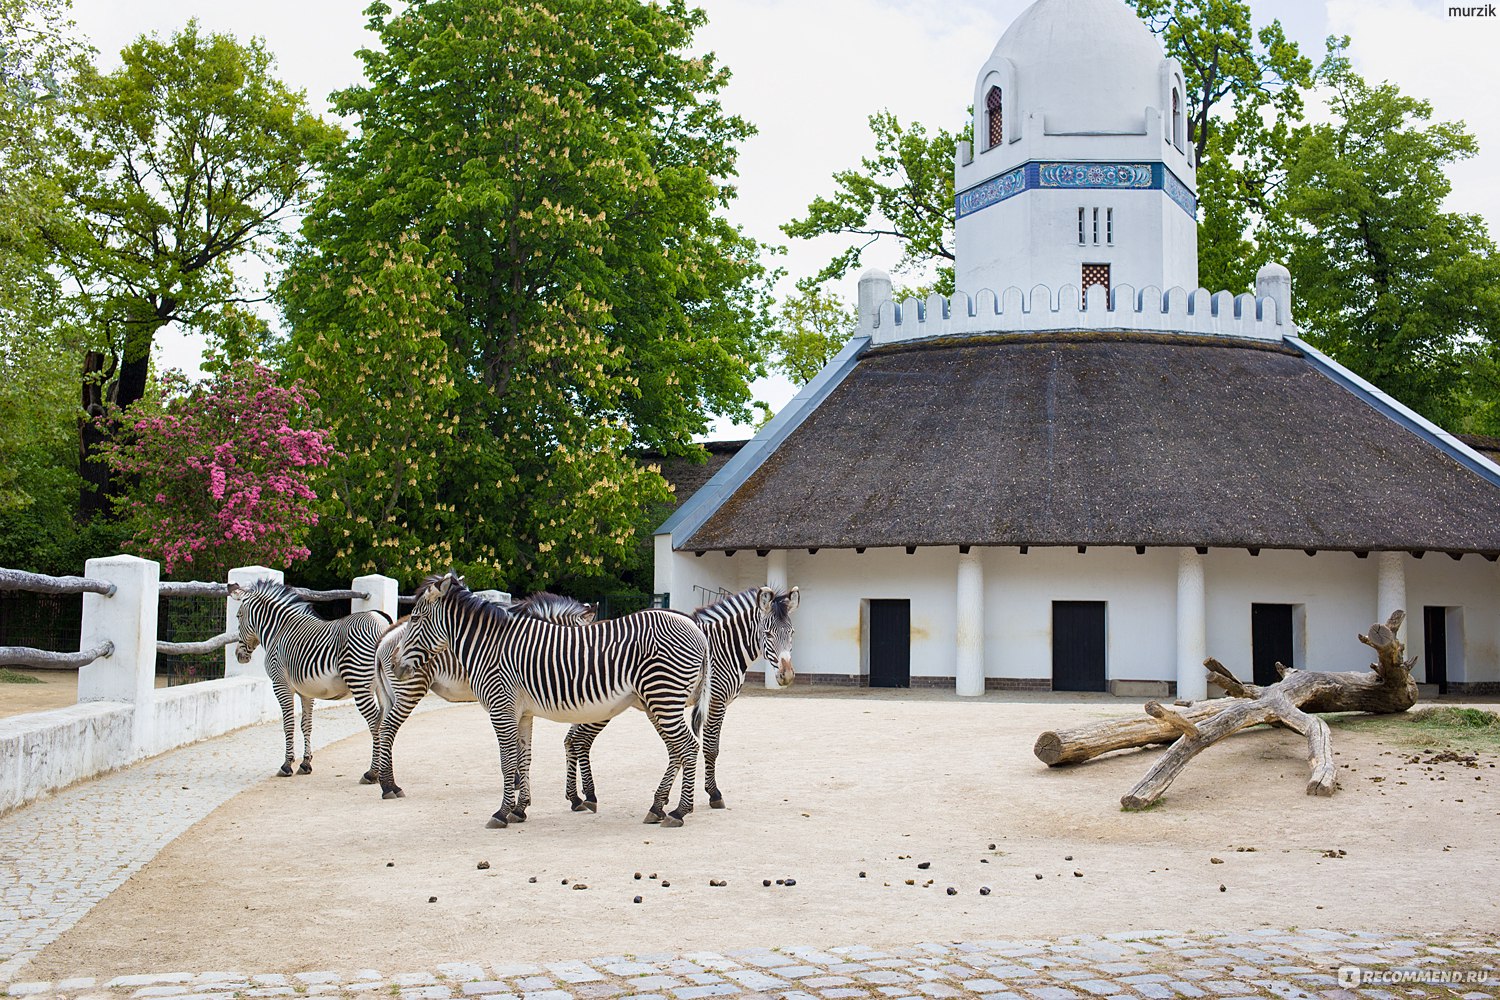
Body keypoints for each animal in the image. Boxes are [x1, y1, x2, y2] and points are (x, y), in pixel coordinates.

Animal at [228, 578, 393, 779]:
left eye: (238, 616)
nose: (240, 656)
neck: (278, 630)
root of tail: (380, 620)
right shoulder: (308, 691)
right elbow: (306, 725)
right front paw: (306, 763)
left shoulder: (280, 684)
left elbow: (288, 724)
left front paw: (287, 764)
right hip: (382, 685)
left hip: (359, 681)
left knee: (375, 721)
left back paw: (372, 772)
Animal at [369, 590, 591, 803]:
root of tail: (385, 639)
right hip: (410, 689)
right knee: (388, 728)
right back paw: (389, 786)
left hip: (391, 694)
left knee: (380, 726)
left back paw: (377, 777)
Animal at [393, 569, 708, 827]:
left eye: (416, 619)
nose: (396, 667)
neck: (491, 646)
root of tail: (697, 631)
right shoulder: (522, 713)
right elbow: (523, 759)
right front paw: (519, 810)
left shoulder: (501, 708)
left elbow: (506, 761)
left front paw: (501, 812)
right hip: (655, 702)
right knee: (676, 750)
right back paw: (657, 808)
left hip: (663, 697)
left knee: (689, 747)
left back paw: (679, 811)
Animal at [564, 587, 798, 815]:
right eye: (767, 634)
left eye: (792, 633)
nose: (786, 675)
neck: (725, 648)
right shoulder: (716, 701)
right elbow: (711, 749)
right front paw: (713, 794)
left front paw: (665, 800)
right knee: (582, 740)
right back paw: (589, 796)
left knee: (570, 740)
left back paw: (575, 797)